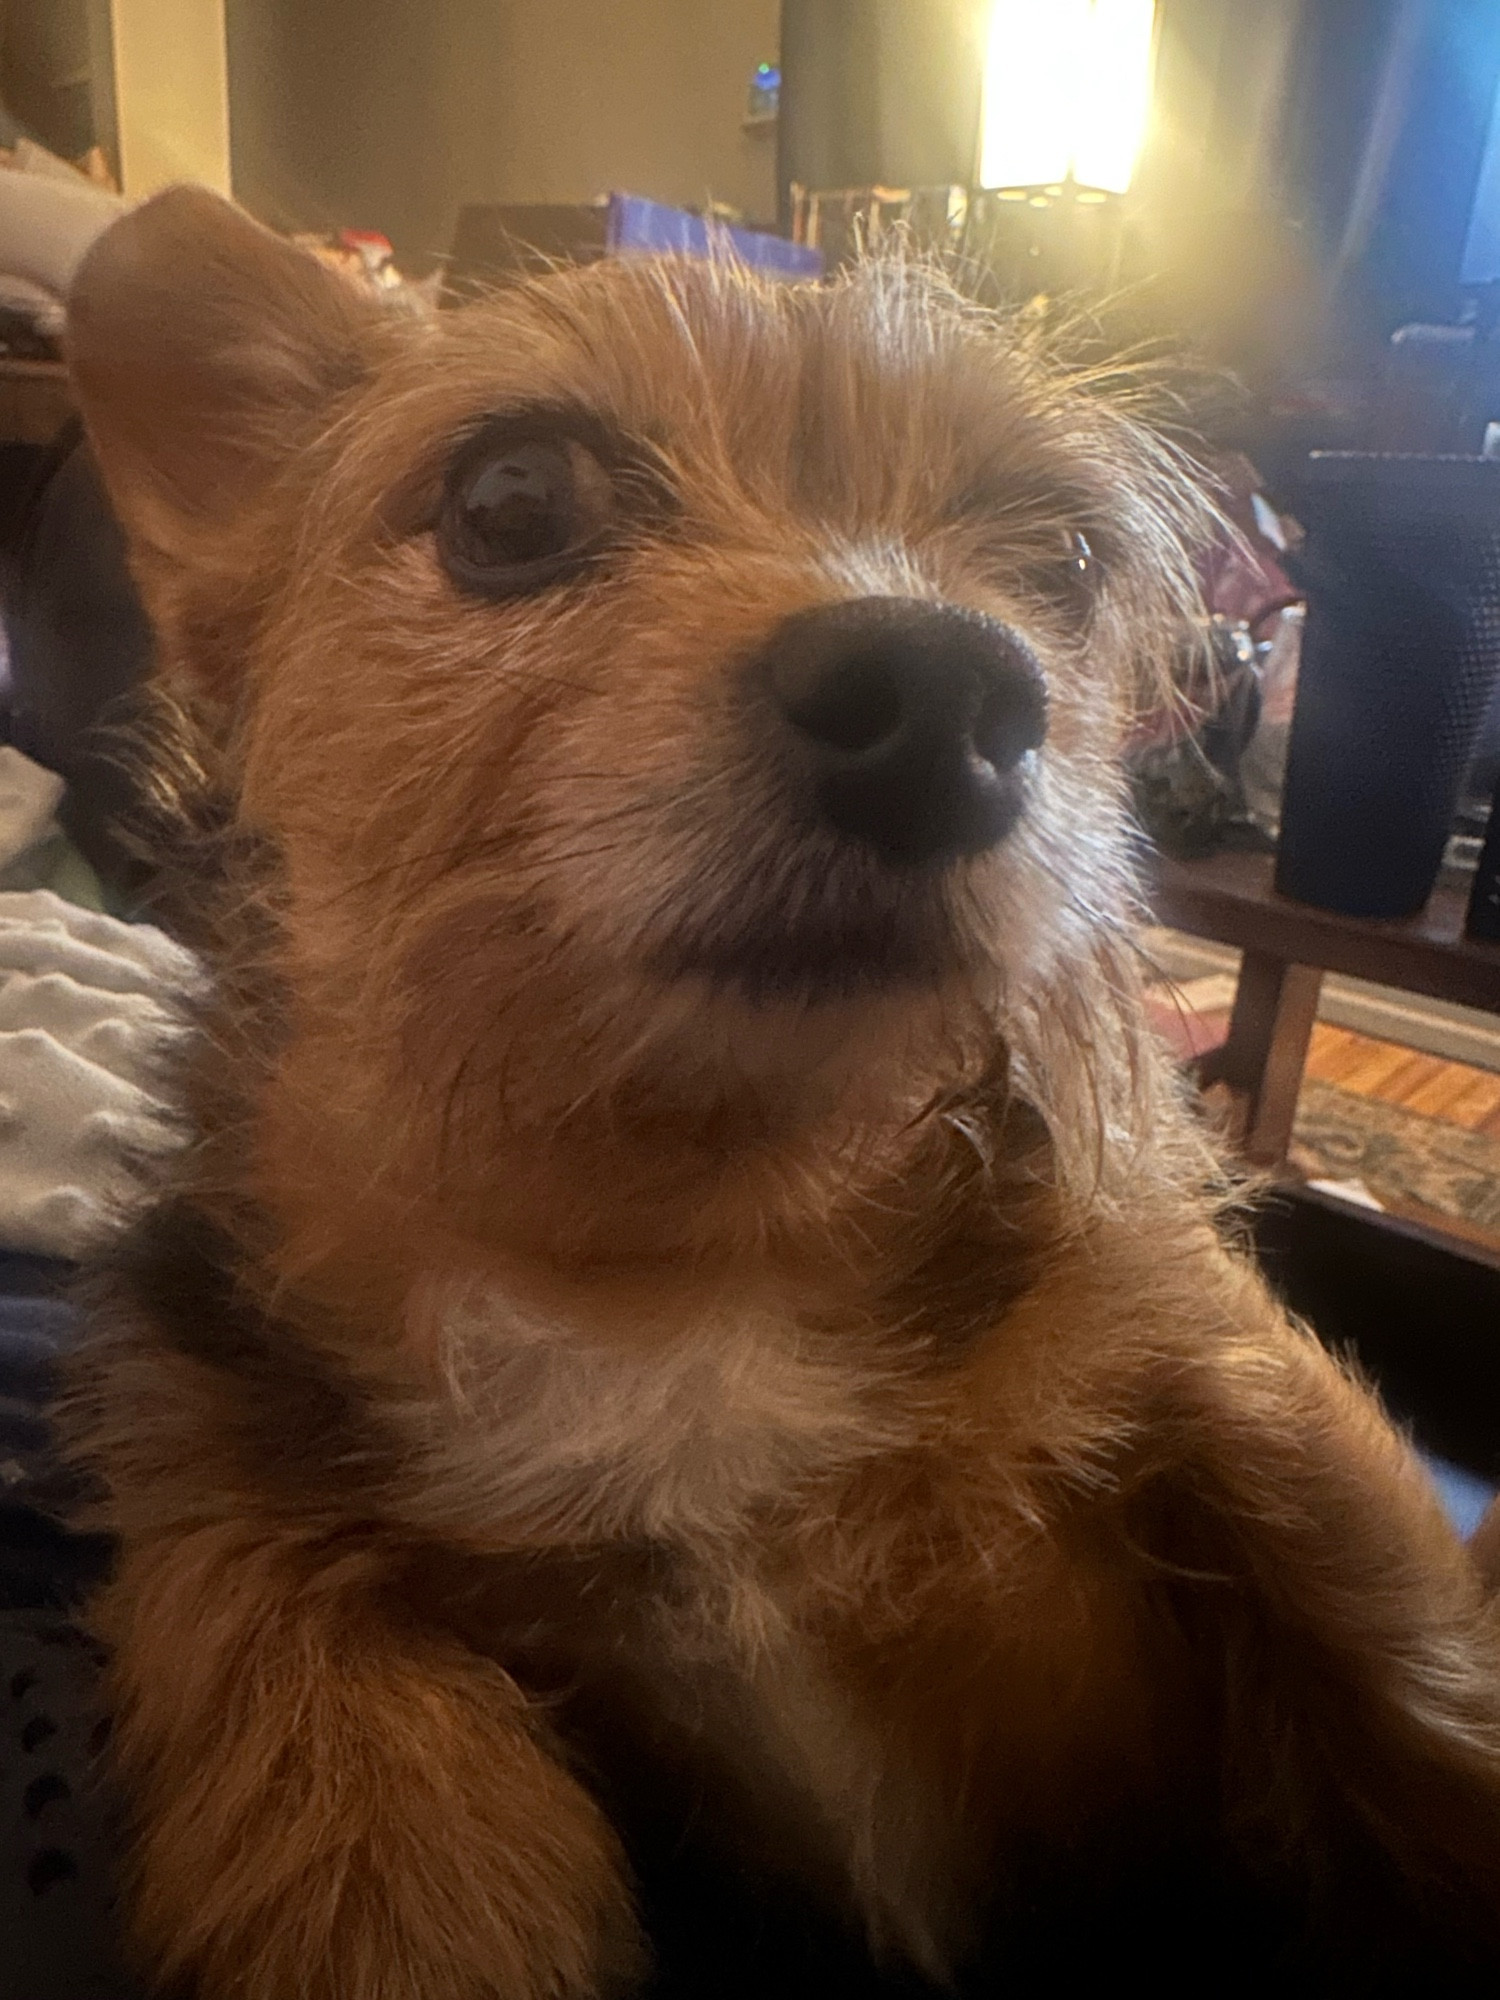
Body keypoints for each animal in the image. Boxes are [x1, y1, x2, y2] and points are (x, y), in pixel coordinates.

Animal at [61, 191, 1500, 2000]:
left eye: (1063, 563)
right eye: (511, 499)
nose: (948, 697)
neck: (683, 1245)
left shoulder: (1237, 1387)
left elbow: (1413, 1664)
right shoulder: (260, 1561)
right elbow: (370, 1834)